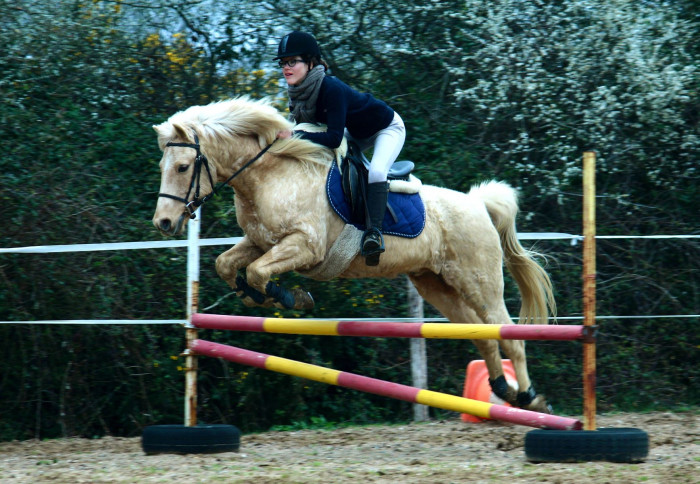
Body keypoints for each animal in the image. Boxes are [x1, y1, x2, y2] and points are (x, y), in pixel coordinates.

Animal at [153, 97, 556, 412]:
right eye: (163, 166)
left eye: (183, 167)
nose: (164, 222)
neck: (269, 175)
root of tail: (477, 203)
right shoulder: (261, 241)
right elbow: (228, 264)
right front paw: (255, 296)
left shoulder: (305, 245)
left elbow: (257, 272)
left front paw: (292, 297)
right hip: (437, 286)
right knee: (484, 334)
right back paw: (502, 390)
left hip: (479, 281)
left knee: (509, 334)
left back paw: (529, 397)